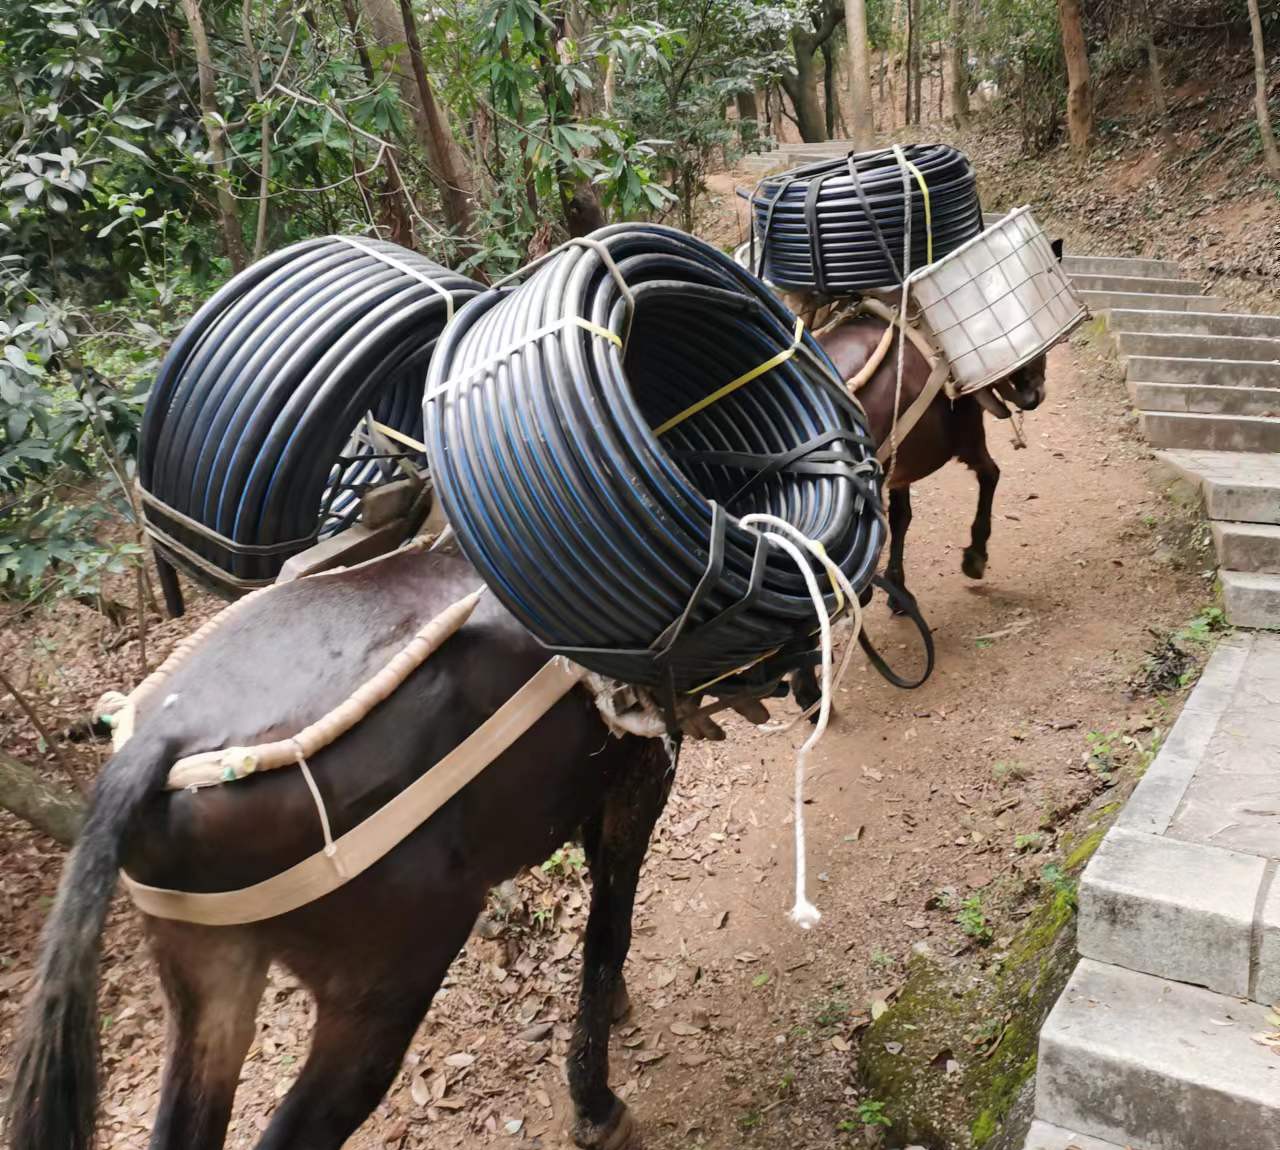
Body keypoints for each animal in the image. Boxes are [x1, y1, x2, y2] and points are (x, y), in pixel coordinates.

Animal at [8, 545, 669, 1150]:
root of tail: (164, 740)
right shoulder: (643, 770)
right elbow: (608, 927)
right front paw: (595, 1104)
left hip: (207, 982)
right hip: (381, 991)